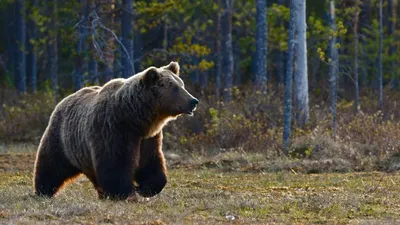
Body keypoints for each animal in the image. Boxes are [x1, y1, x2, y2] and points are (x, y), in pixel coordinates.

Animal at [33, 62, 198, 200]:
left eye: (181, 84)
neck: (134, 118)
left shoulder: (148, 138)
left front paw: (145, 188)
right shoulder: (113, 129)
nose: (193, 101)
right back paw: (43, 190)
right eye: (174, 88)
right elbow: (115, 163)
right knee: (52, 165)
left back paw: (101, 193)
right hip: (63, 139)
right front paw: (124, 193)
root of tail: (64, 100)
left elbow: (151, 162)